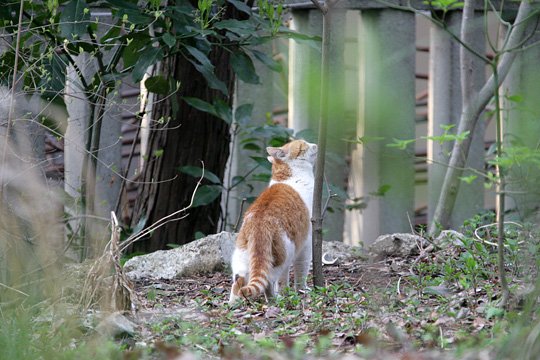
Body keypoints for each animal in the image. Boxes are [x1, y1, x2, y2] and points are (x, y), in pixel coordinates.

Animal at [228, 139, 316, 302]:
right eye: (303, 145)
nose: (315, 144)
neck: (289, 176)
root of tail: (258, 224)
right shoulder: (306, 243)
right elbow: (300, 272)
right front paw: (299, 290)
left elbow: (283, 280)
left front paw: (286, 291)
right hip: (283, 255)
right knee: (268, 281)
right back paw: (274, 300)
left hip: (241, 258)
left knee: (238, 281)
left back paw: (233, 303)